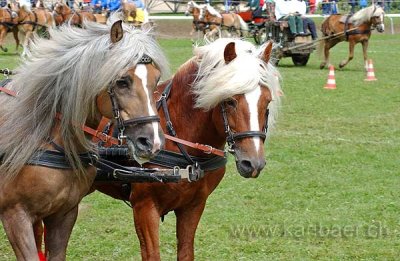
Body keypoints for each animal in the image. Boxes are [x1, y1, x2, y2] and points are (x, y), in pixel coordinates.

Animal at [94, 37, 282, 258]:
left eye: (267, 101)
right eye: (229, 101)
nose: (253, 163)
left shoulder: (193, 206)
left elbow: (185, 252)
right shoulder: (144, 207)